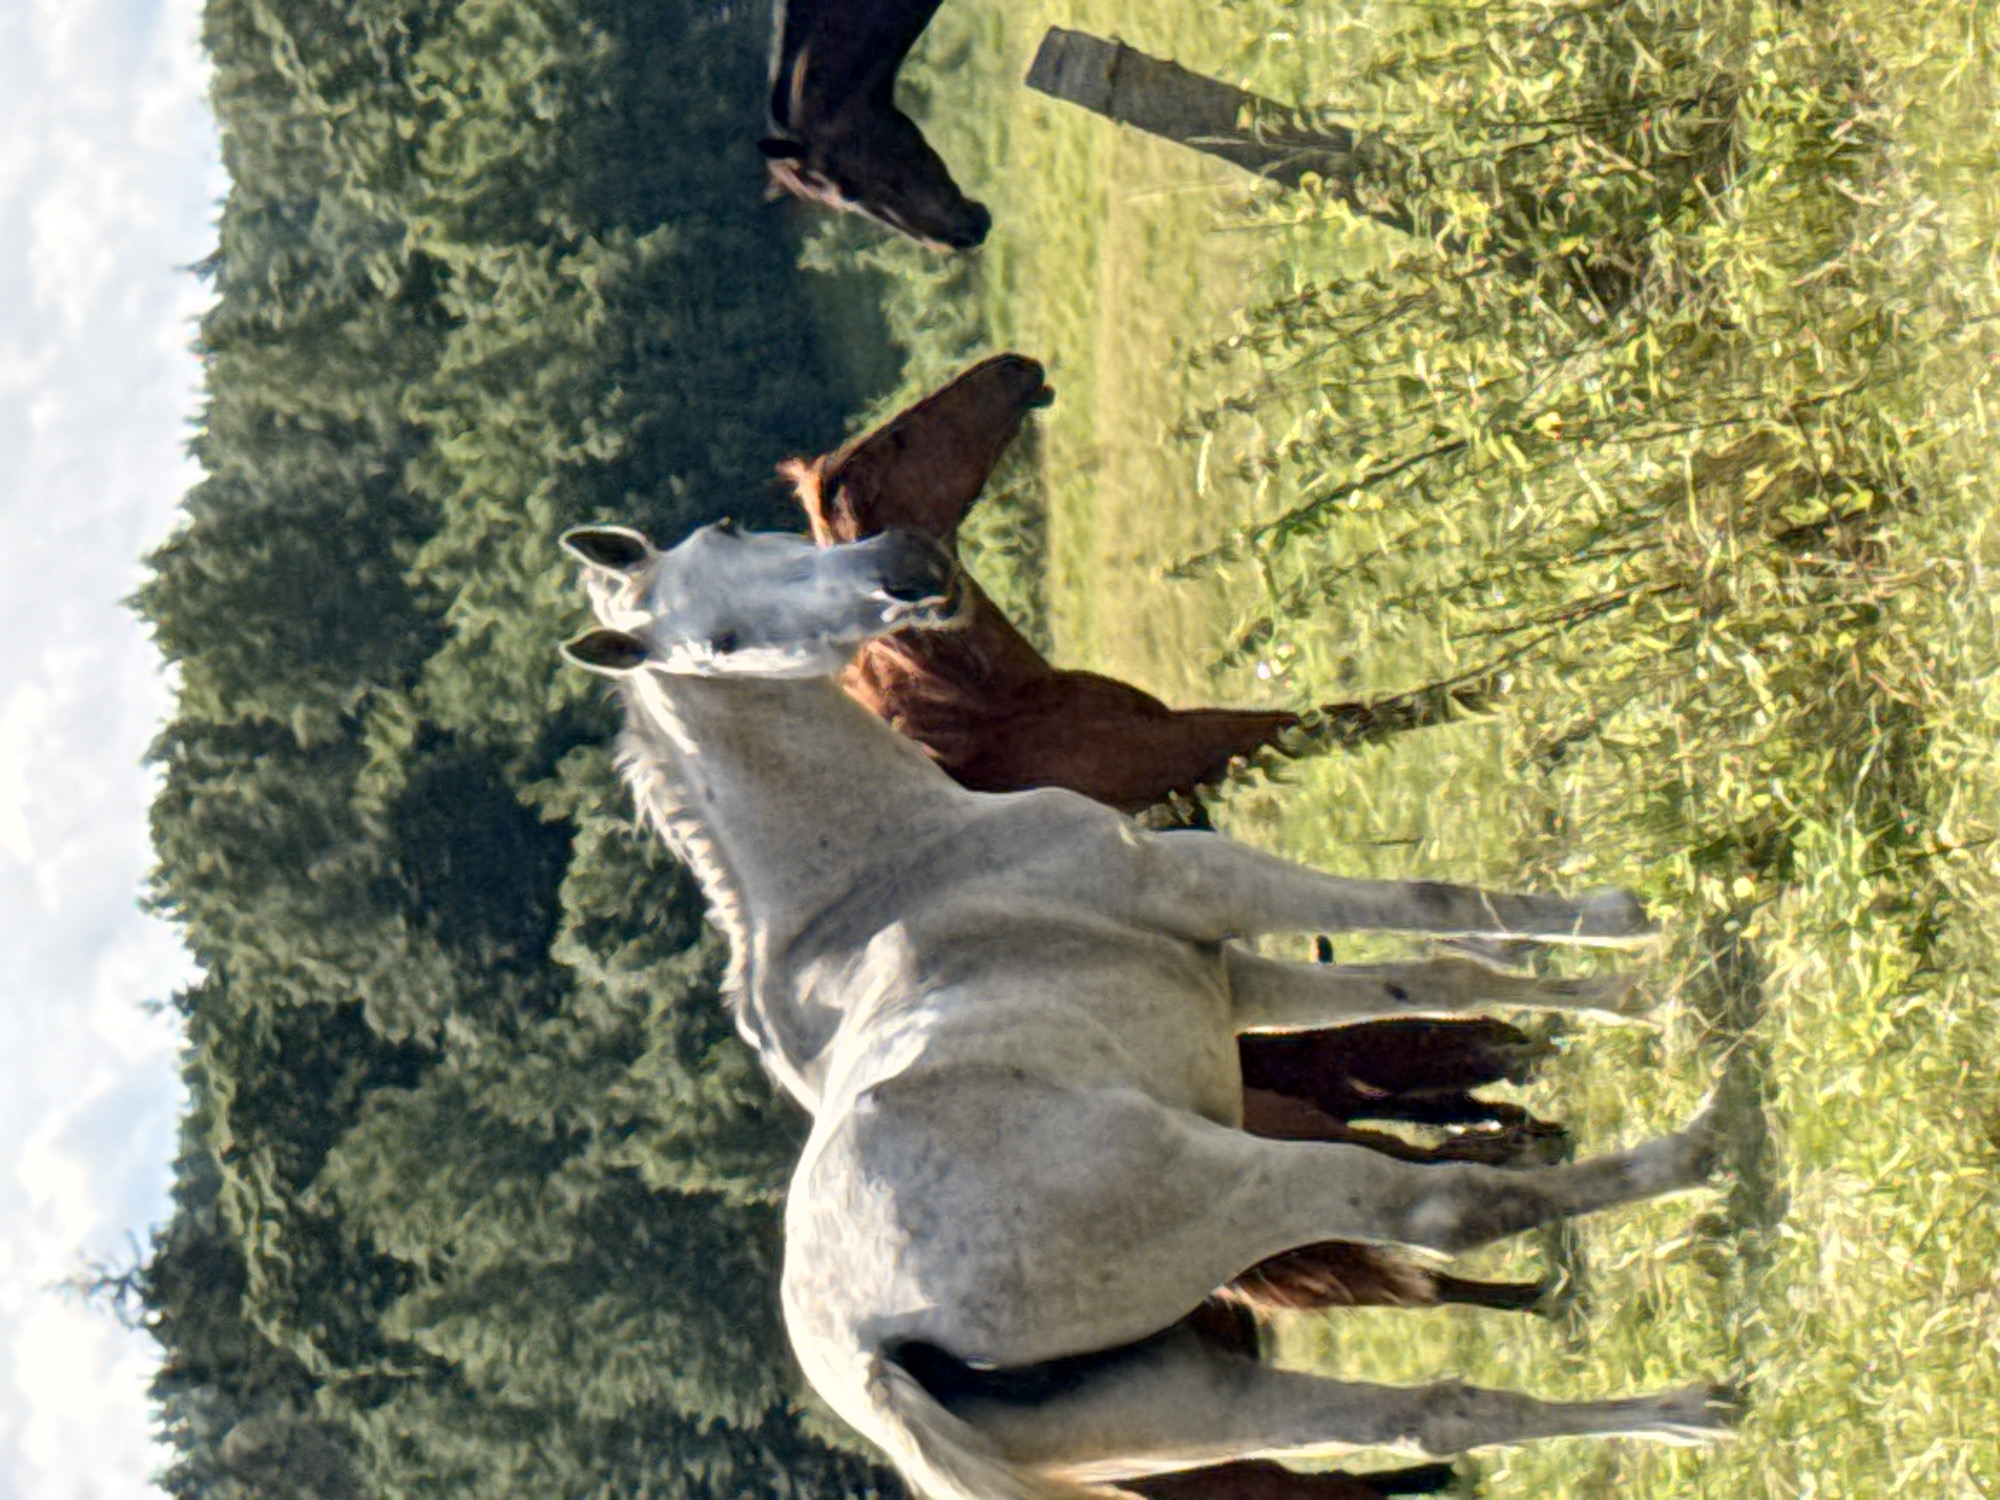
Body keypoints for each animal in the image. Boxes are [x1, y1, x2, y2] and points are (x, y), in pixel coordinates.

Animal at [559, 518, 1732, 1498]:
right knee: (1444, 1210)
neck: (895, 867)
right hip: (1241, 1186)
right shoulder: (1209, 883)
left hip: (1184, 1396)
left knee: (1429, 1417)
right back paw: (1702, 1147)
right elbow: (1435, 910)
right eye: (717, 640)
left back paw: (1695, 1412)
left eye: (729, 531)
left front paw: (1622, 997)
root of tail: (864, 1349)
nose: (902, 570)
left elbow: (1434, 979)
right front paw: (1633, 929)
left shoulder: (1231, 978)